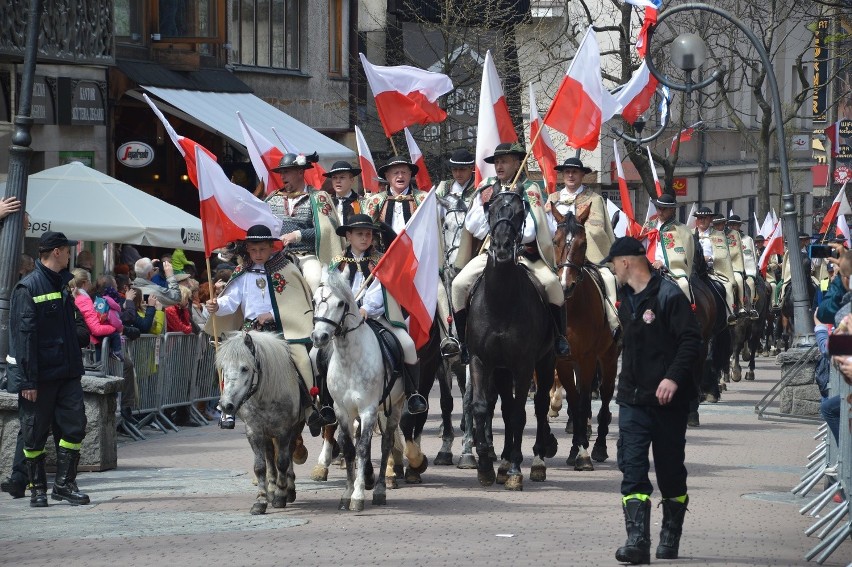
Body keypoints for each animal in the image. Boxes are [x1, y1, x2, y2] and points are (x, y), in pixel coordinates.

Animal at [216, 330, 306, 516]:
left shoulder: (284, 431)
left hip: (294, 428)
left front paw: (280, 496)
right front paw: (261, 501)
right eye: (223, 369)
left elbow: (283, 462)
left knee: (287, 454)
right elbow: (260, 466)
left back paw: (288, 489)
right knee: (270, 456)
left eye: (245, 368)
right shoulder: (254, 432)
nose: (226, 405)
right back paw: (272, 489)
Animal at [312, 268, 404, 512]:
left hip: (395, 406)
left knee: (386, 443)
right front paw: (347, 492)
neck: (350, 360)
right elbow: (349, 447)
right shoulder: (342, 410)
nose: (319, 337)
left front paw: (358, 495)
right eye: (314, 300)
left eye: (340, 303)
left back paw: (380, 489)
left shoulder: (368, 409)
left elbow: (362, 449)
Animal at [466, 189, 560, 490]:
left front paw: (517, 469)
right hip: (502, 370)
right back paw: (504, 463)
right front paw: (485, 464)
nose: (503, 248)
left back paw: (535, 462)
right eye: (494, 210)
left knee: (539, 404)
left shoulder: (524, 364)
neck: (501, 302)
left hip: (546, 360)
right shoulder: (481, 360)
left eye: (520, 213)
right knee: (506, 407)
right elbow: (483, 407)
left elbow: (520, 412)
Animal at [552, 206, 620, 472]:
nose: (565, 285)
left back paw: (599, 446)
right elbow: (574, 401)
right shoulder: (563, 361)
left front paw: (583, 453)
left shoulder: (589, 358)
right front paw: (574, 449)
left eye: (583, 244)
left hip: (609, 357)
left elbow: (582, 402)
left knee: (605, 395)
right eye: (555, 241)